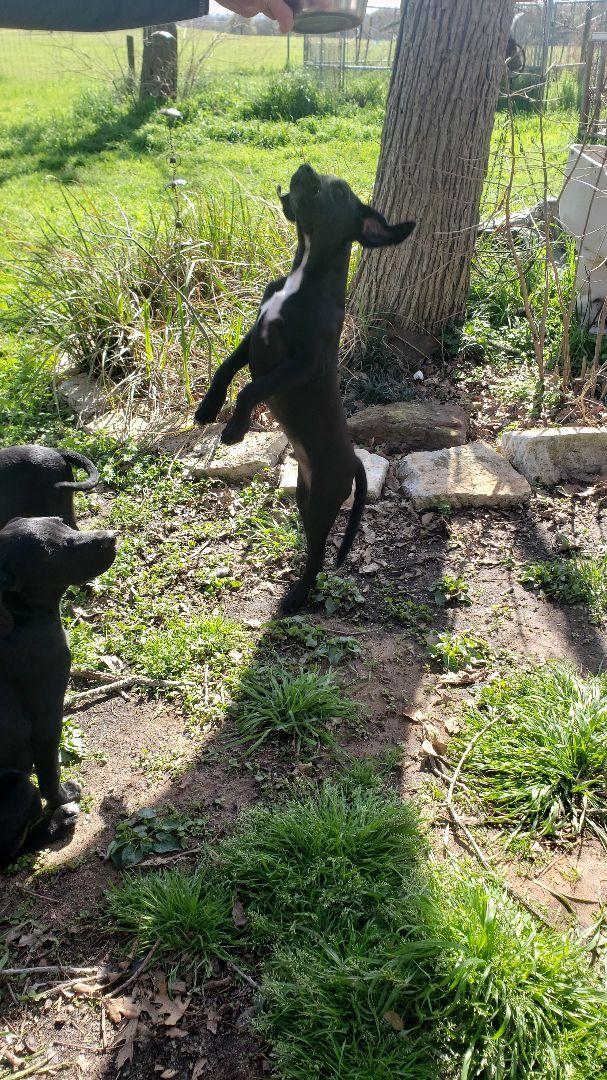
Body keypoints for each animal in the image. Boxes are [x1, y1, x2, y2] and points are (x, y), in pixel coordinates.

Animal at [0, 516, 115, 868]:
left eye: (62, 522)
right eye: (50, 554)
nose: (112, 537)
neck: (19, 616)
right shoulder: (47, 719)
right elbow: (51, 775)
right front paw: (65, 797)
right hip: (20, 789)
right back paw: (56, 824)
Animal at [193, 164, 410, 613]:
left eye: (340, 192)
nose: (304, 168)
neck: (303, 277)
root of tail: (355, 460)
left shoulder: (303, 363)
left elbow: (252, 387)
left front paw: (235, 429)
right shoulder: (254, 335)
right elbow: (227, 368)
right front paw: (208, 408)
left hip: (324, 500)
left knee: (319, 555)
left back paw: (296, 595)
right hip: (306, 498)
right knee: (313, 546)